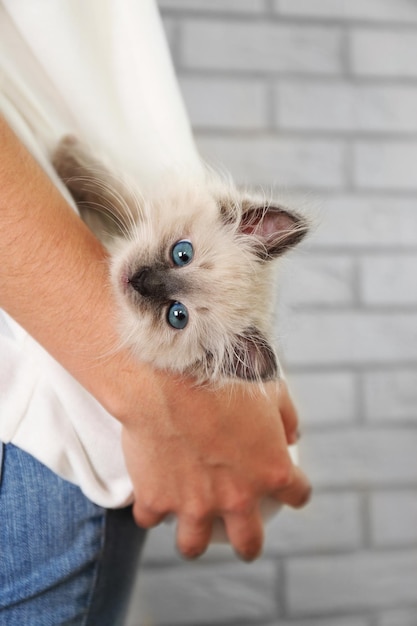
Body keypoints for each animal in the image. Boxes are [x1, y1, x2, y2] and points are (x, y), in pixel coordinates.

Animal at [52, 134, 308, 382]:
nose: (140, 280)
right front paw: (67, 155)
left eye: (177, 315)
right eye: (182, 254)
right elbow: (116, 190)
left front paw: (63, 154)